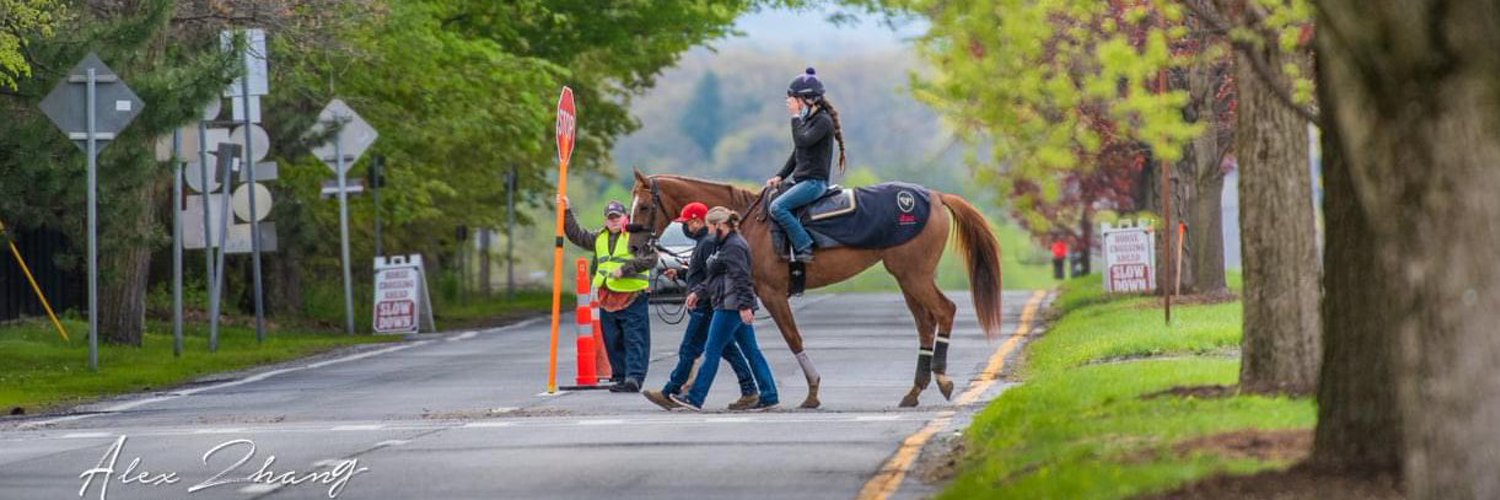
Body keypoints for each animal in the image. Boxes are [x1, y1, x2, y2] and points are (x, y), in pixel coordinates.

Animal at [627, 169, 1002, 408]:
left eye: (643, 206)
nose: (633, 247)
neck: (745, 223)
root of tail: (935, 196)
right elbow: (720, 341)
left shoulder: (771, 294)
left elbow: (790, 338)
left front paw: (811, 392)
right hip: (908, 277)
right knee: (926, 323)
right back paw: (914, 390)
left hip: (914, 275)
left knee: (945, 311)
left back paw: (942, 379)